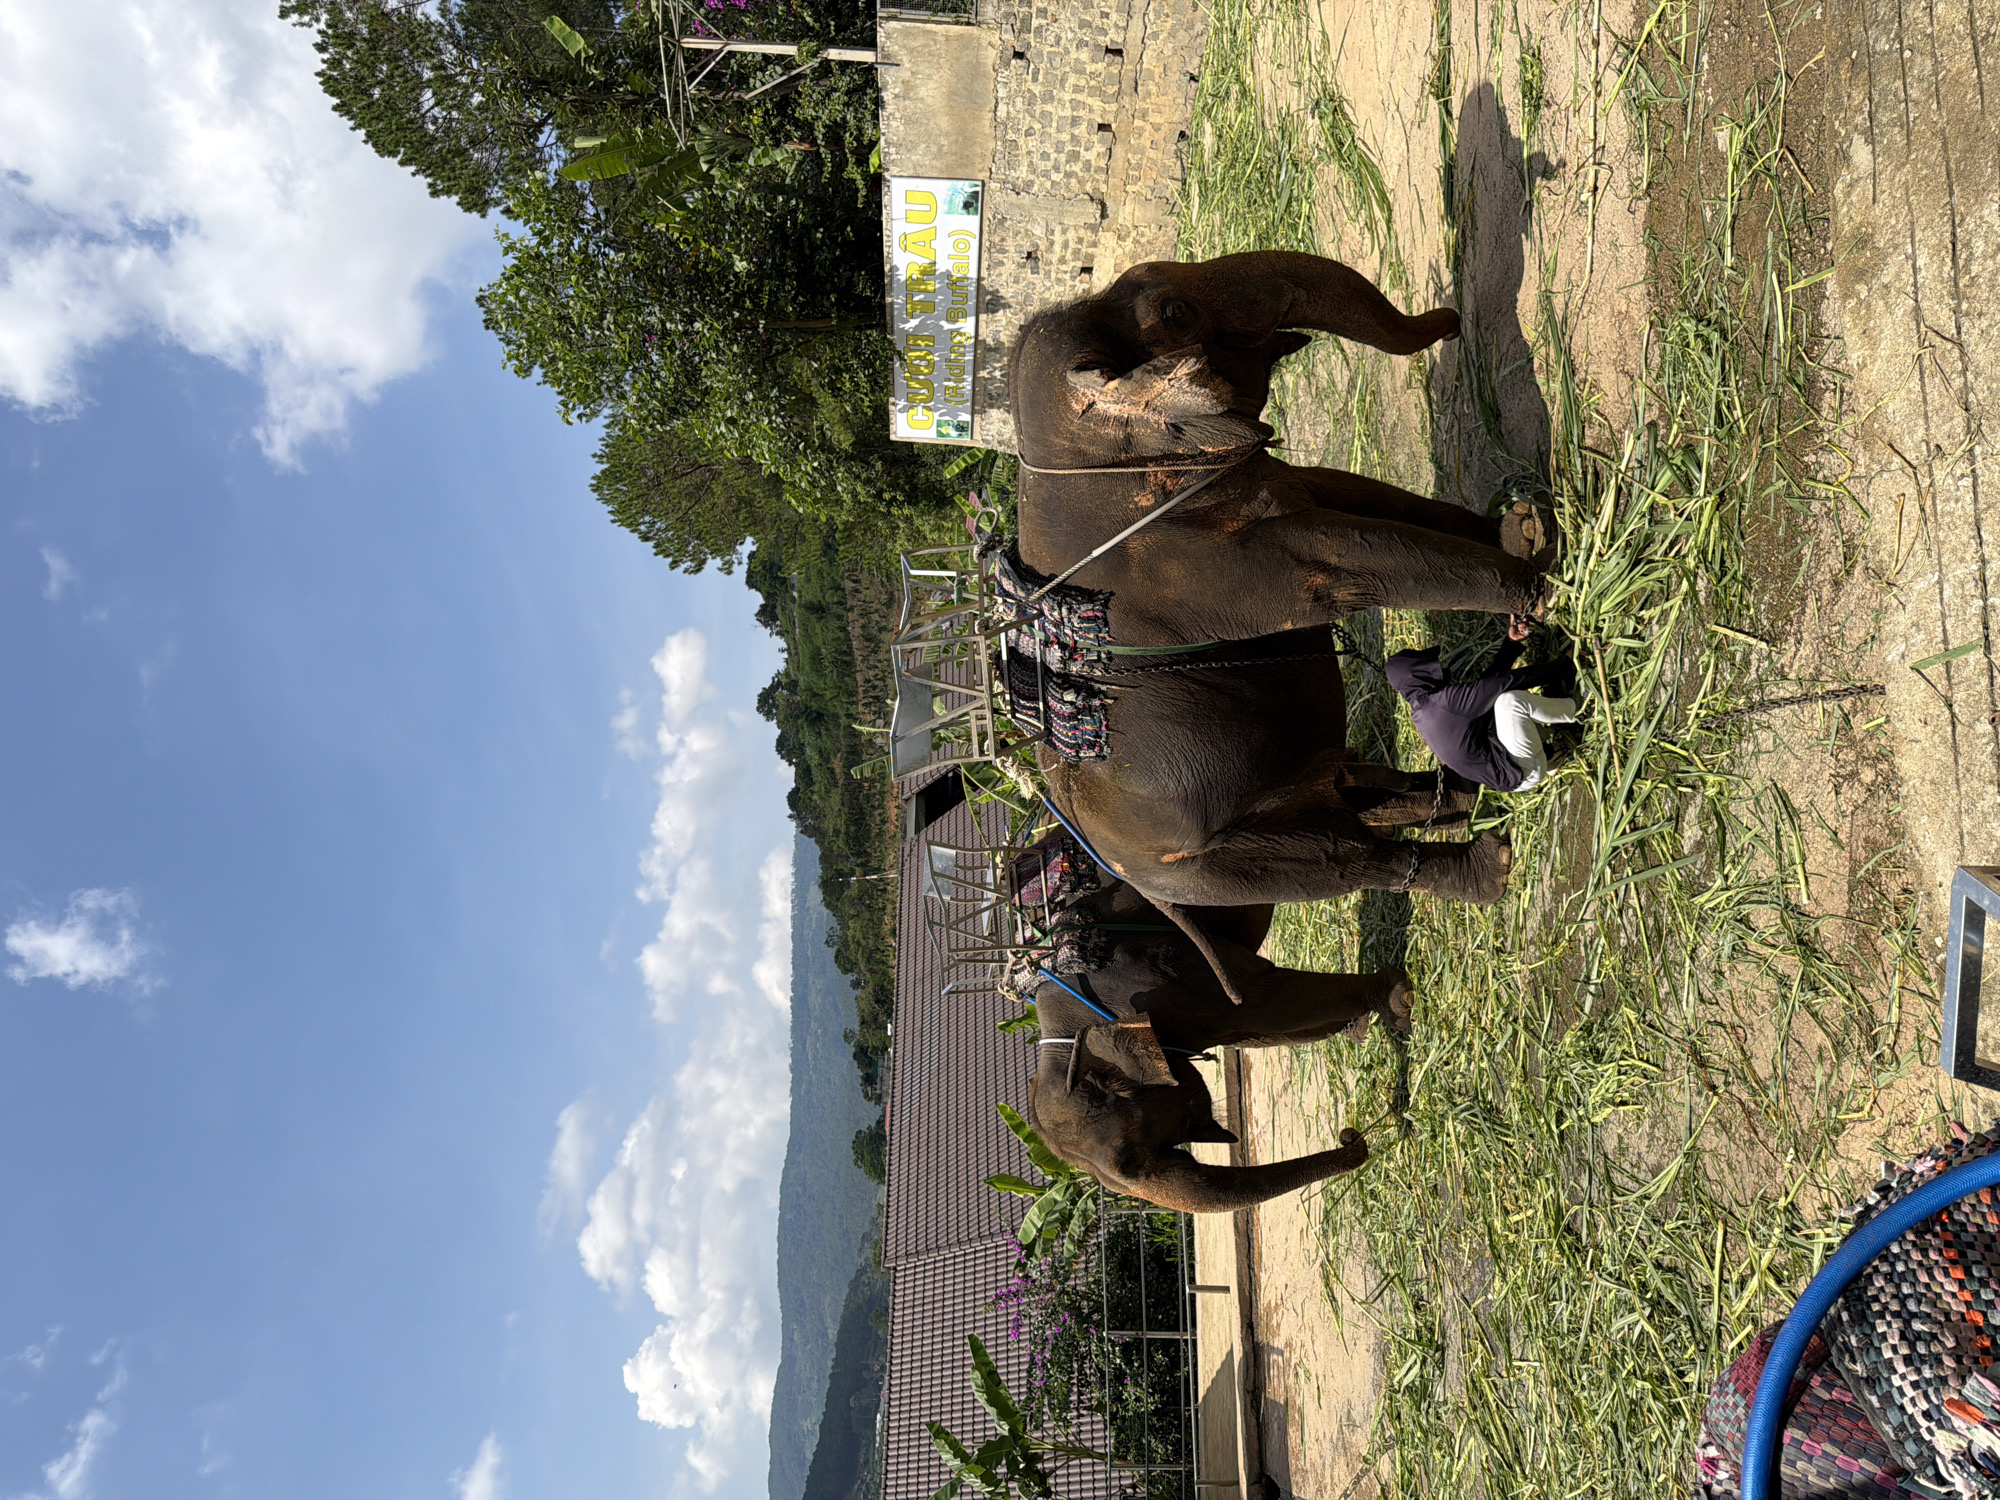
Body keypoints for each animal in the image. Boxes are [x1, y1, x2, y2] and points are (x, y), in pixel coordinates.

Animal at [1008, 250, 1554, 651]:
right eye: (1177, 313)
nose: (1456, 321)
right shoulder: (1196, 573)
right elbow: (1341, 553)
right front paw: (1540, 596)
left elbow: (1346, 489)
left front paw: (1521, 528)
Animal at [1024, 878, 1409, 1213]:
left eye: (1129, 1162)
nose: (1350, 1135)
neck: (1066, 1039)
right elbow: (1255, 1032)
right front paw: (1359, 1025)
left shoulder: (1157, 972)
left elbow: (1263, 1002)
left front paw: (1397, 1002)